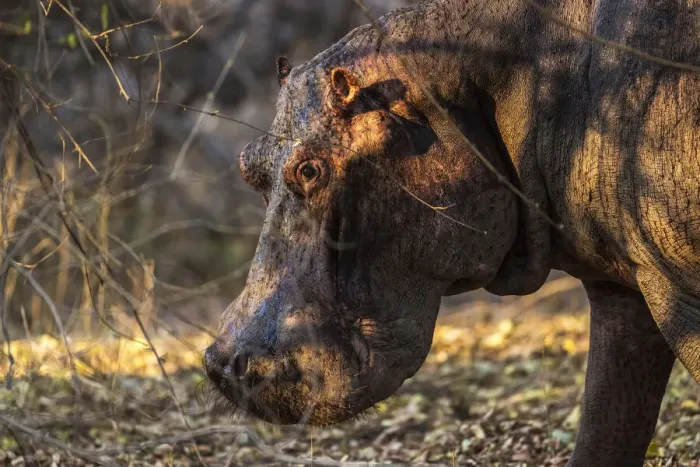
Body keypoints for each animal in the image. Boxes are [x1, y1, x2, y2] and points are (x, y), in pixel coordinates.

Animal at [204, 0, 699, 465]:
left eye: (309, 170)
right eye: (248, 164)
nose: (221, 362)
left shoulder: (679, 289)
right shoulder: (622, 287)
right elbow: (606, 423)